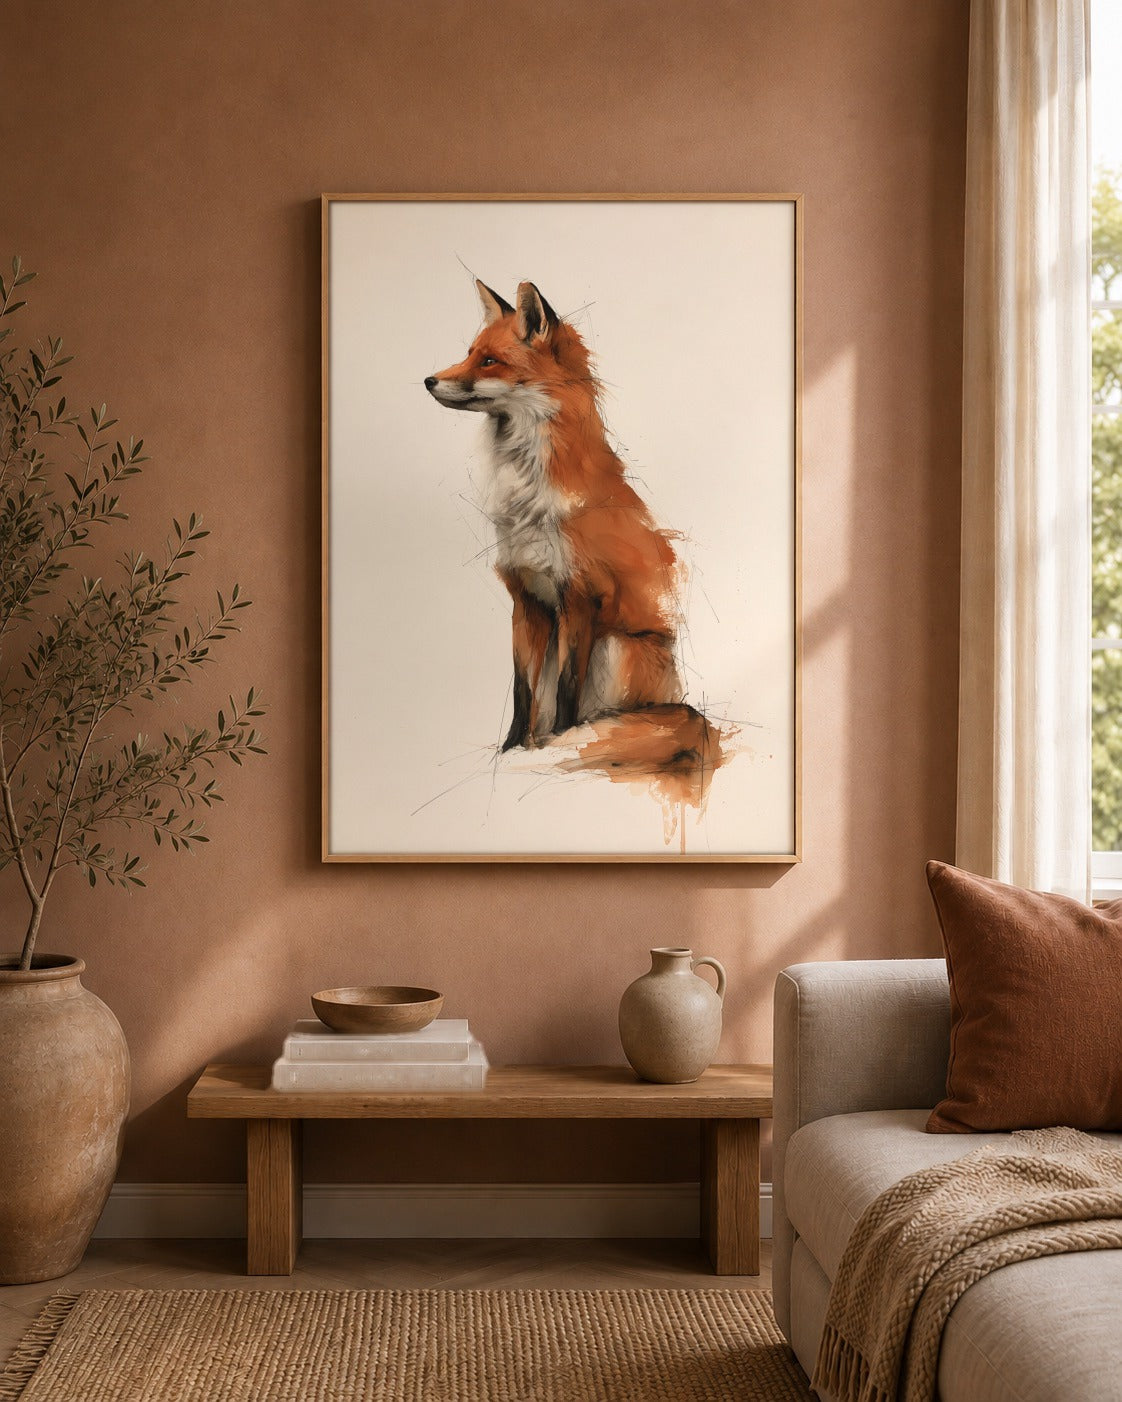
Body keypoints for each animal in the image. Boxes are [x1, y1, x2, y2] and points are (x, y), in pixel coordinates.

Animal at [425, 278, 726, 800]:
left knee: (609, 716)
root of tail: (682, 707)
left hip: (617, 646)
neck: (528, 493)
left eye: (489, 362)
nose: (427, 380)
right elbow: (522, 694)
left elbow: (567, 695)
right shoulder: (526, 598)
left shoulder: (580, 597)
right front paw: (510, 750)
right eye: (468, 355)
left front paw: (554, 749)